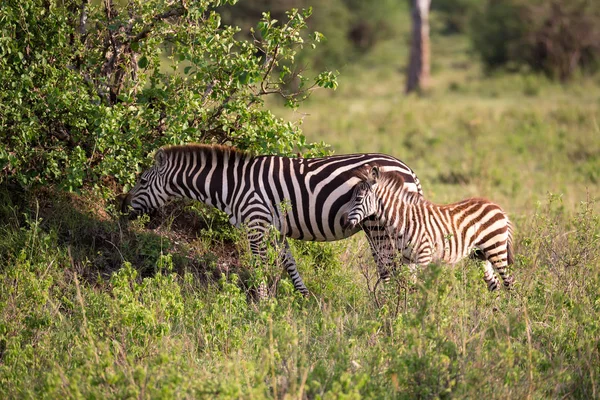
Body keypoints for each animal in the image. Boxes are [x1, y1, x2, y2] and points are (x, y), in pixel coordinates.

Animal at [120, 145, 422, 296]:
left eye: (142, 181)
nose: (122, 206)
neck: (232, 185)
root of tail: (409, 169)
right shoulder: (275, 227)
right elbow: (289, 262)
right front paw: (304, 299)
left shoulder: (256, 223)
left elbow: (259, 267)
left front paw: (261, 304)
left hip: (378, 225)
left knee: (391, 267)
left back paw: (389, 309)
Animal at [342, 163, 516, 290]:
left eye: (358, 199)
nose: (345, 223)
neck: (404, 220)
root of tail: (497, 207)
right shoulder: (408, 259)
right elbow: (409, 286)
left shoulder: (423, 257)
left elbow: (419, 288)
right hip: (480, 254)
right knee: (494, 284)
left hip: (495, 248)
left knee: (509, 281)